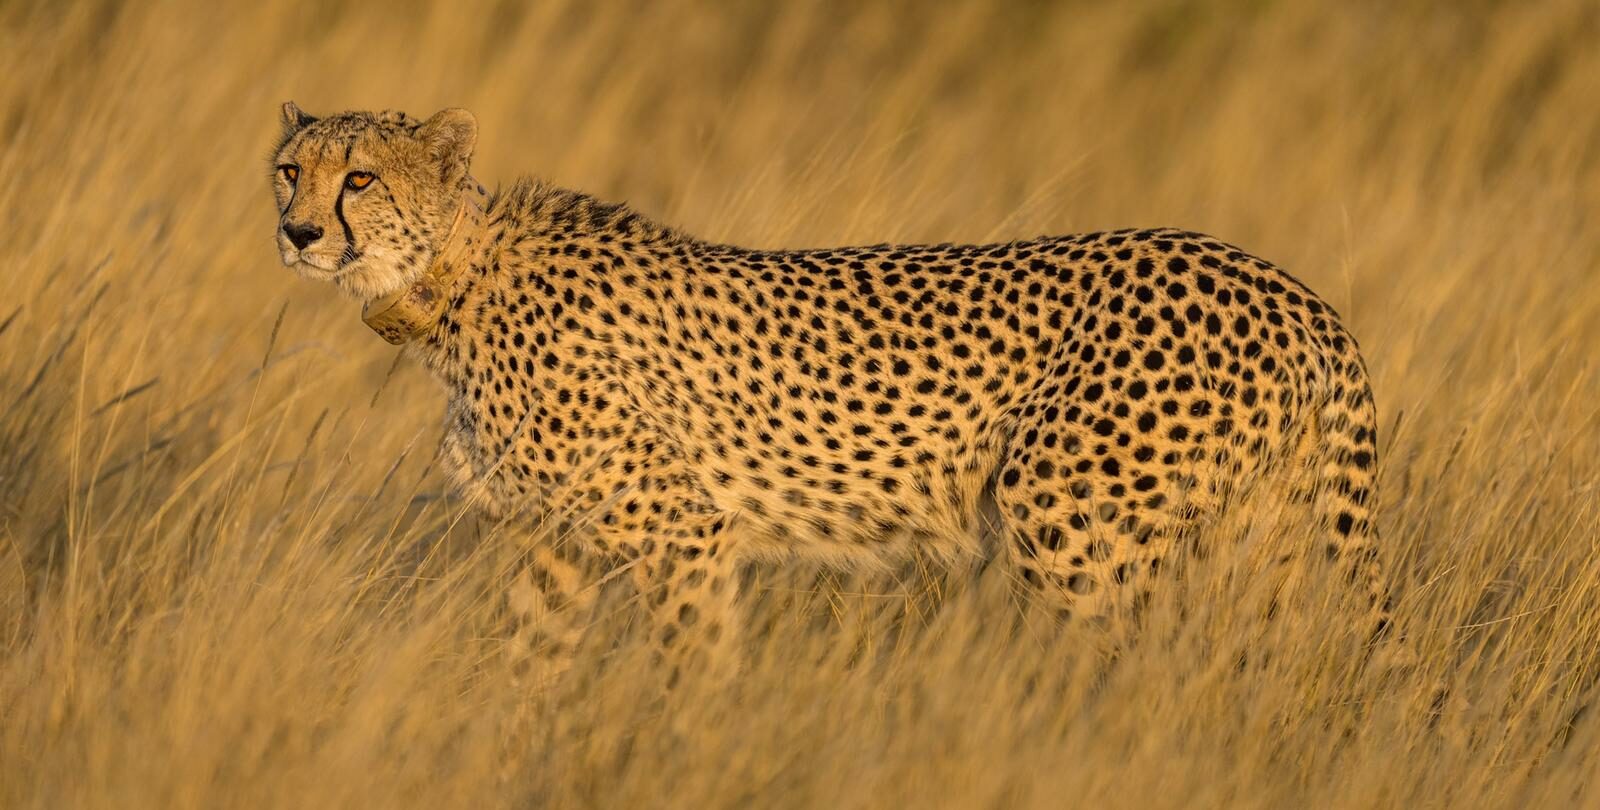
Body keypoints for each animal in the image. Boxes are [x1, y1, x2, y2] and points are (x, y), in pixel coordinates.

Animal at [272, 104, 1388, 678]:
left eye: (361, 177)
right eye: (289, 169)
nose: (297, 231)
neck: (449, 280)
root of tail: (1292, 291)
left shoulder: (684, 530)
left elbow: (688, 673)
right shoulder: (554, 549)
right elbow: (529, 679)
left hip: (1071, 526)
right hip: (1265, 543)